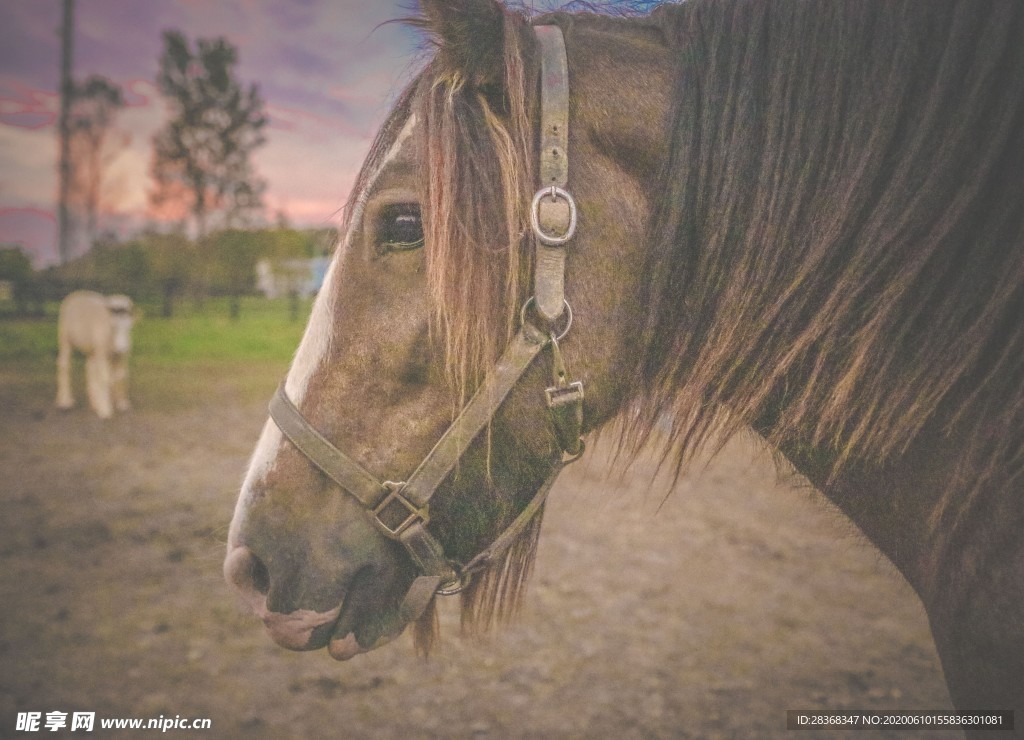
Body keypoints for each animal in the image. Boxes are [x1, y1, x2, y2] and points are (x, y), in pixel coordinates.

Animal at [55, 290, 136, 419]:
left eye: (129, 327)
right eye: (113, 326)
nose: (122, 347)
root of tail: (77, 293)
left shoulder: (120, 356)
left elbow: (120, 376)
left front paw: (121, 404)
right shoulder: (102, 352)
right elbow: (105, 377)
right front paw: (105, 408)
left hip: (92, 348)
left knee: (90, 368)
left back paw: (94, 401)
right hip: (64, 338)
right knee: (64, 365)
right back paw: (65, 401)